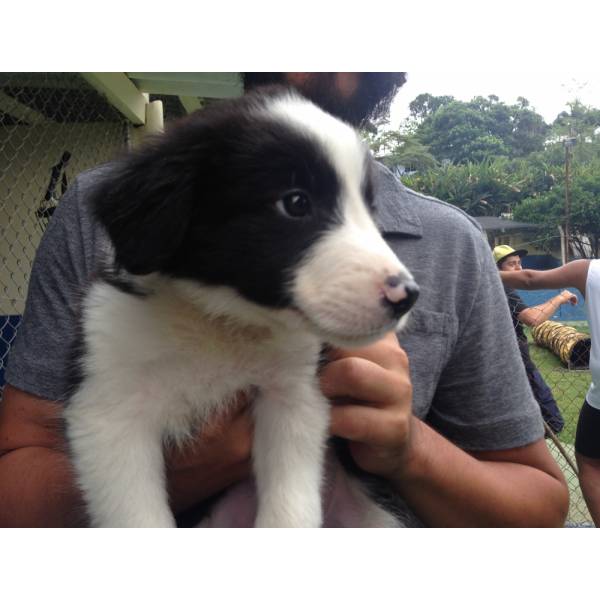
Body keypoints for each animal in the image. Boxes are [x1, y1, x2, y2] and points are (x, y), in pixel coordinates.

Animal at [64, 86, 418, 528]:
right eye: (296, 203)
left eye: (370, 209)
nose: (407, 295)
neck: (222, 320)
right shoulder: (110, 406)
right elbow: (138, 516)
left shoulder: (293, 396)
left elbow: (290, 509)